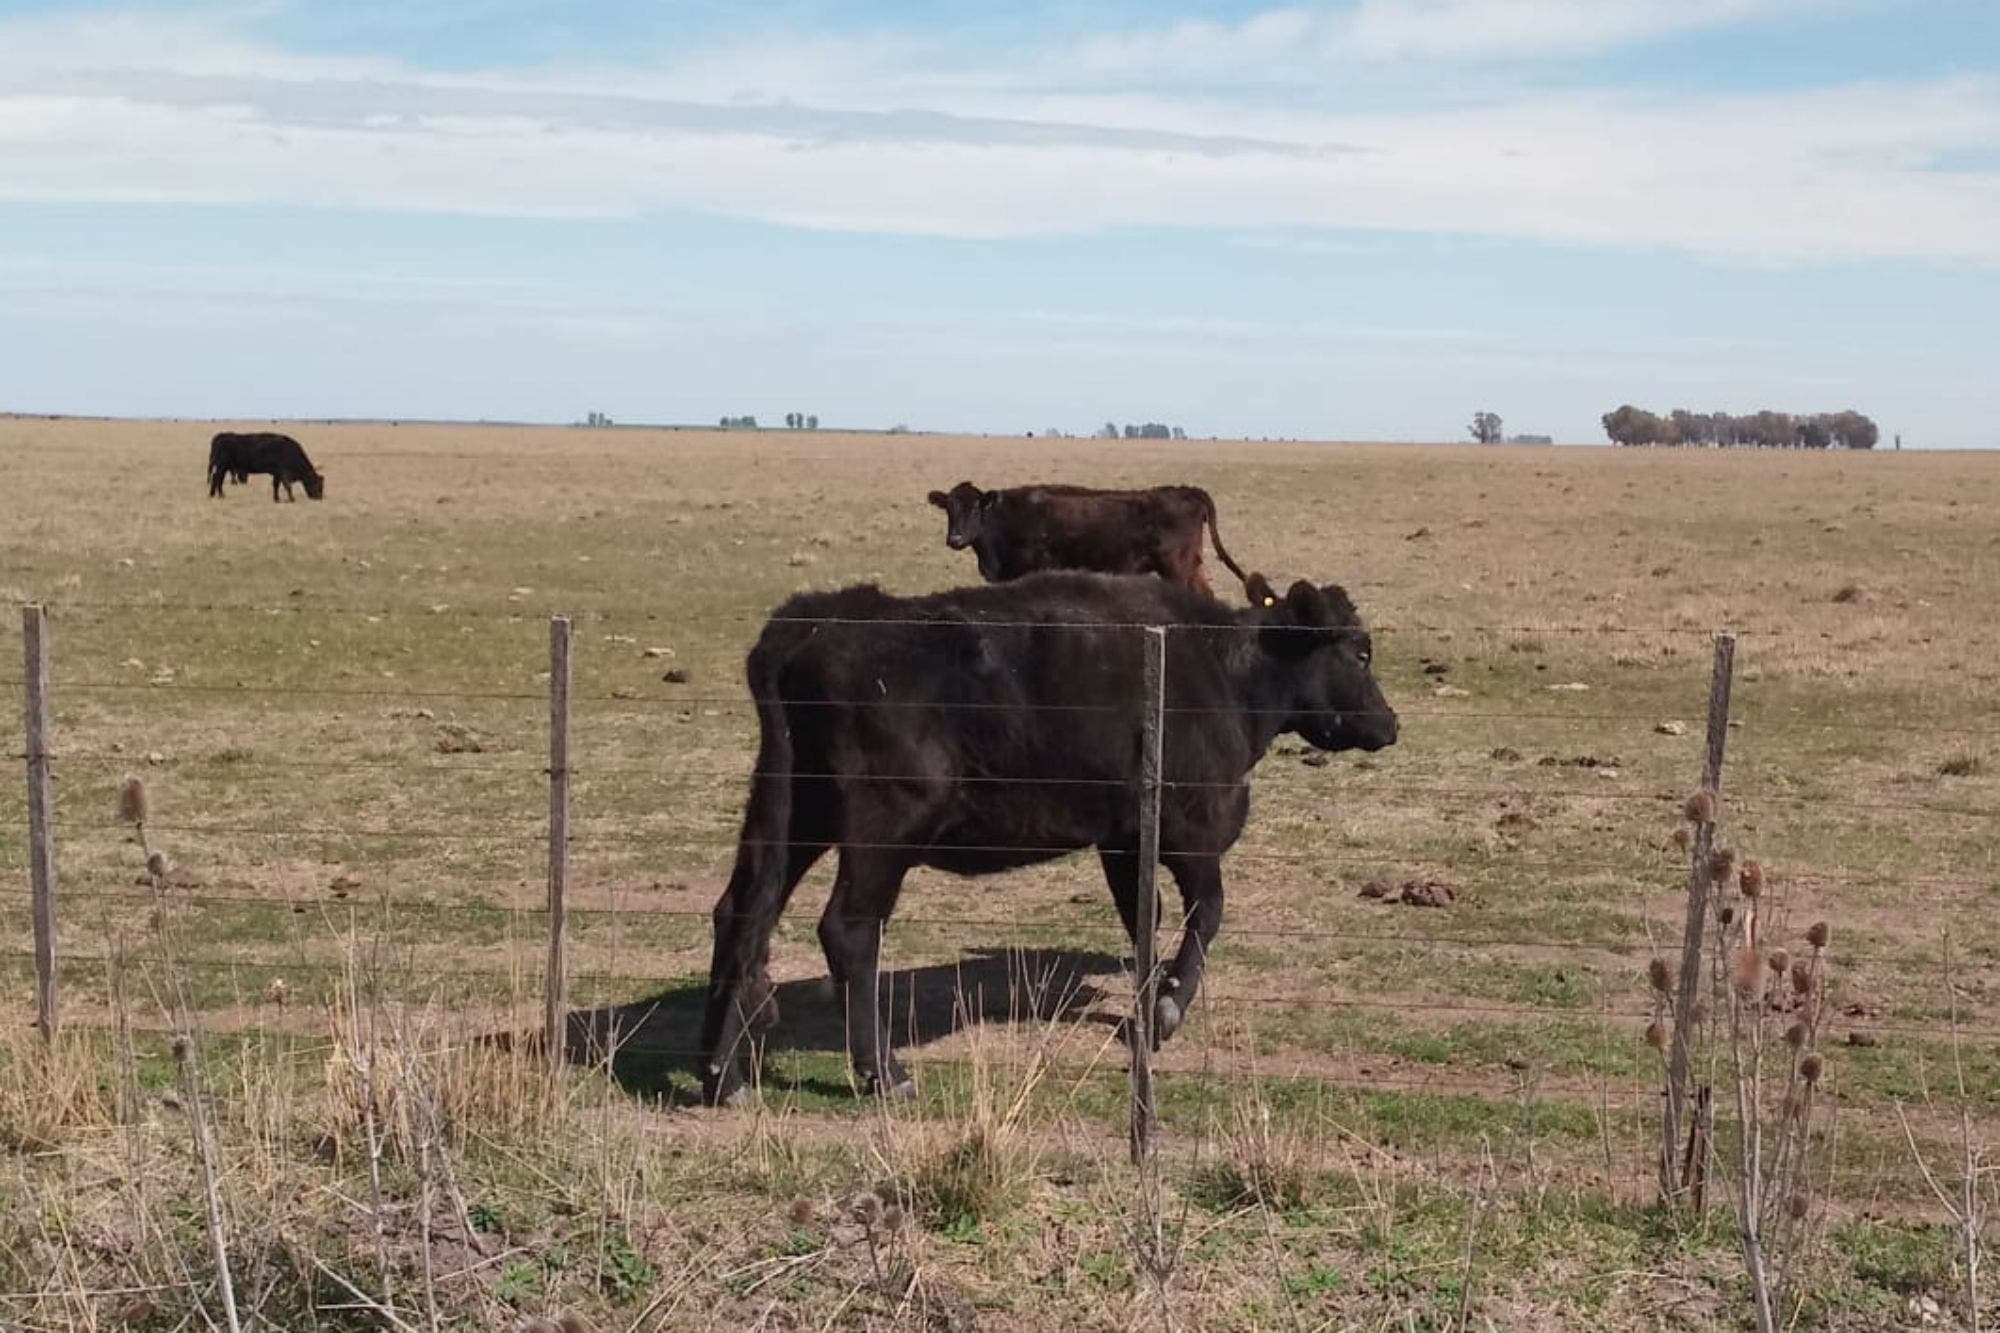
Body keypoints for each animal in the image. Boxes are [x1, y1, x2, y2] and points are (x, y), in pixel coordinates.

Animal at [700, 564, 1392, 1096]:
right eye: (1360, 652)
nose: (1390, 723)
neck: (1222, 671)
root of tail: (819, 618)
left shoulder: (1123, 838)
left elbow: (1144, 918)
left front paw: (1146, 1006)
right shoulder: (1188, 831)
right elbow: (1208, 911)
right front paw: (1167, 1009)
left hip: (793, 813)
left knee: (744, 910)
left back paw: (720, 1075)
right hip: (881, 831)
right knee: (848, 930)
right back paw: (883, 1073)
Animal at [924, 480, 1248, 592]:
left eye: (975, 508)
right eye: (949, 509)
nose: (955, 539)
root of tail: (1186, 490)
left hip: (1176, 568)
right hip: (1191, 566)